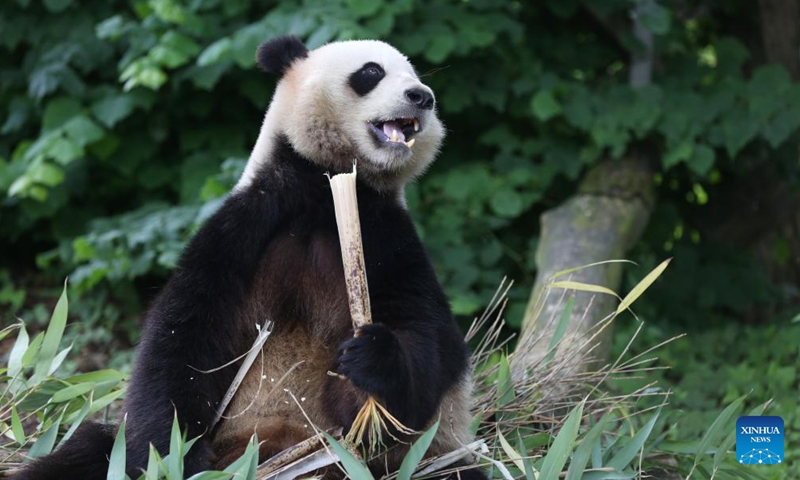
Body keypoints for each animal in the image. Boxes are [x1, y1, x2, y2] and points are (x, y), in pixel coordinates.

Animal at [15, 36, 482, 480]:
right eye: (371, 72)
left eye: (414, 75)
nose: (422, 96)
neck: (325, 186)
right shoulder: (248, 224)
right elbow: (180, 338)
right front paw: (171, 456)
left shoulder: (385, 234)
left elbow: (424, 334)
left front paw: (371, 359)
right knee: (89, 452)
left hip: (415, 464)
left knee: (454, 471)